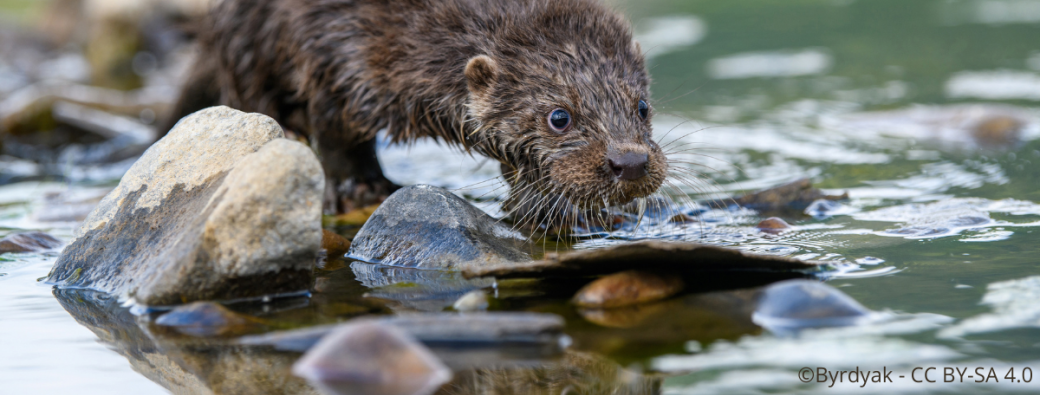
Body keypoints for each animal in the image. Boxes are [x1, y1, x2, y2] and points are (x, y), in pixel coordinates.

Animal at [162, 0, 665, 231]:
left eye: (642, 106)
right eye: (559, 117)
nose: (630, 162)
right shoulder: (333, 49)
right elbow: (336, 133)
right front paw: (360, 189)